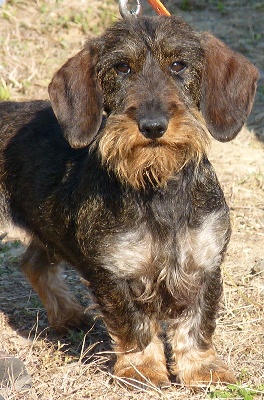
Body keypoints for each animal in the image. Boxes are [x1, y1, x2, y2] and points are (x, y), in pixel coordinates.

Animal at [0, 15, 258, 388]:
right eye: (122, 68)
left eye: (178, 65)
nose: (152, 126)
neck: (157, 185)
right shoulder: (115, 272)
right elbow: (135, 326)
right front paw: (143, 370)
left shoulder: (203, 264)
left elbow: (196, 325)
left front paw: (203, 369)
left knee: (33, 262)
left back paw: (67, 315)